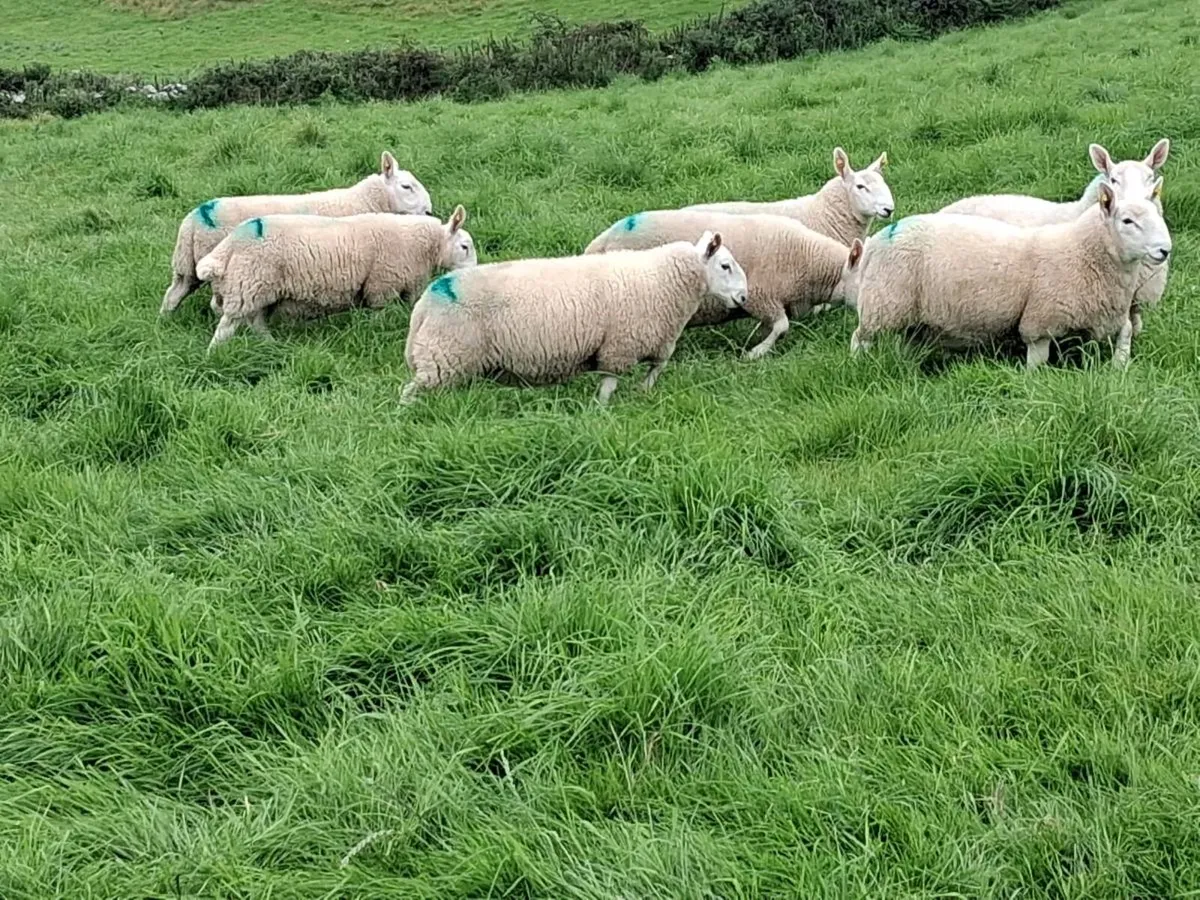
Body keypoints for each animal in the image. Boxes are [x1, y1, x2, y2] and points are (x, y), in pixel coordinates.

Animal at [161, 150, 433, 315]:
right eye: (406, 187)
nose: (429, 211)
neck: (366, 200)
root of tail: (193, 220)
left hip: (187, 268)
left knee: (173, 295)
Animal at [197, 205, 476, 352]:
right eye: (464, 247)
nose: (471, 273)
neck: (425, 245)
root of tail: (228, 245)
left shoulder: (406, 287)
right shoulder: (382, 287)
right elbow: (380, 316)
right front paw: (377, 333)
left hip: (258, 289)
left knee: (257, 322)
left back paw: (273, 345)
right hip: (247, 285)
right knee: (227, 326)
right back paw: (213, 354)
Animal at [400, 232, 749, 406]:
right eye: (725, 266)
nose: (745, 297)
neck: (661, 278)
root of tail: (426, 302)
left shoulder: (653, 342)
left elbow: (657, 368)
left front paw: (643, 393)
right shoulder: (619, 346)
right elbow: (610, 385)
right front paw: (601, 412)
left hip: (449, 359)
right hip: (443, 357)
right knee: (407, 392)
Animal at [849, 180, 1171, 371]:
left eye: (1158, 214)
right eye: (1127, 221)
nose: (1165, 250)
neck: (1083, 250)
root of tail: (875, 242)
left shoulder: (1107, 312)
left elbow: (1127, 331)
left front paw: (1119, 366)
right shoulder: (1039, 322)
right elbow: (1037, 361)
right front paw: (1033, 382)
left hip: (910, 316)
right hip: (883, 305)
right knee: (859, 337)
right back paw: (858, 365)